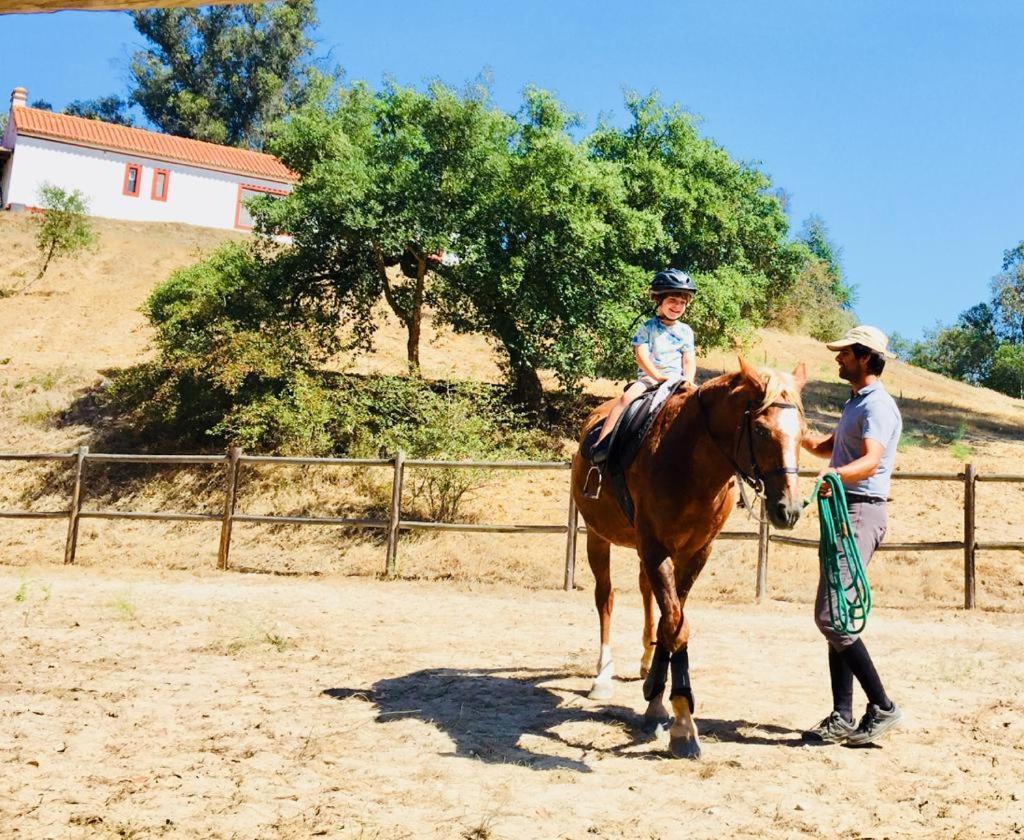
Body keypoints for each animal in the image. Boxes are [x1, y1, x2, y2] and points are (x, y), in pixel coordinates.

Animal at [573, 358, 802, 758]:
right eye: (760, 429)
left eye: (802, 432)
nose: (787, 509)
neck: (690, 462)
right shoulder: (656, 548)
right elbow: (676, 625)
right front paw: (681, 723)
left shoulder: (695, 553)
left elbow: (673, 622)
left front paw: (657, 700)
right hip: (598, 538)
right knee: (606, 598)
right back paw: (602, 674)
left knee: (645, 592)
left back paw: (645, 661)